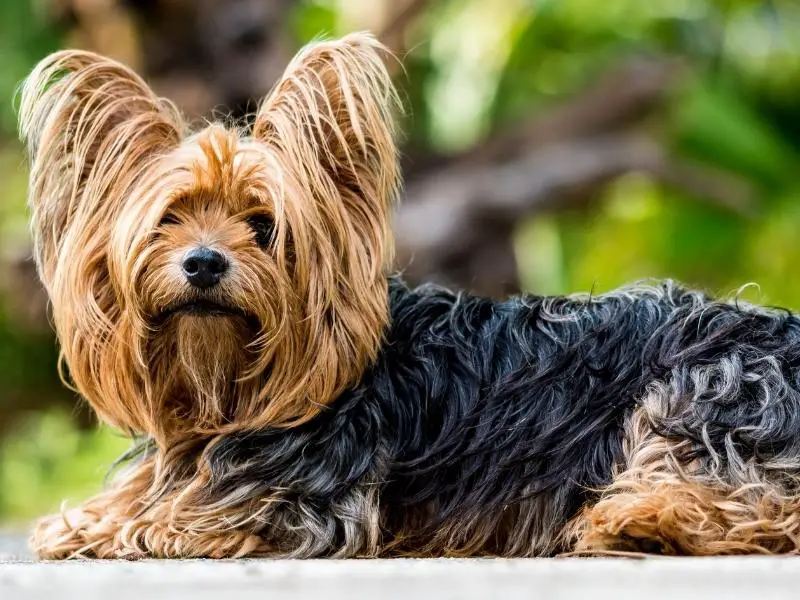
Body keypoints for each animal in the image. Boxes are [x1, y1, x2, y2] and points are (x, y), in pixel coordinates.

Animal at [18, 31, 800, 556]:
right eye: (169, 219)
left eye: (265, 226)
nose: (204, 263)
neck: (228, 387)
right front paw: (88, 519)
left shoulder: (307, 503)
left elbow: (179, 519)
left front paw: (124, 526)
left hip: (710, 387)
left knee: (757, 503)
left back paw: (644, 521)